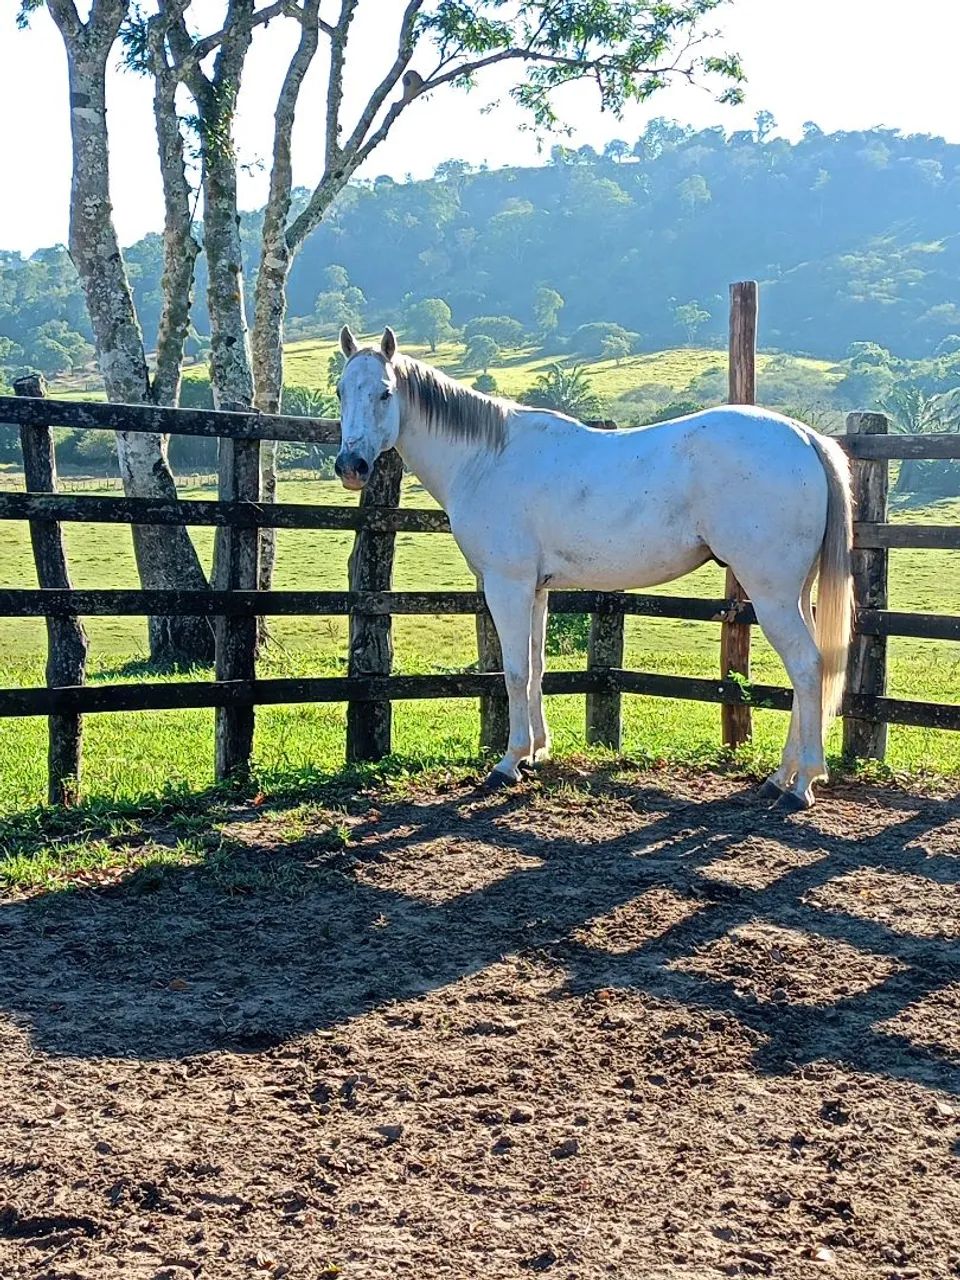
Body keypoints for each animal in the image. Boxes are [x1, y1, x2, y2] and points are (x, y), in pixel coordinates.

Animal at [334, 326, 853, 811]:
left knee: (807, 667)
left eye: (384, 392)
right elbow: (537, 667)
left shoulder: (507, 585)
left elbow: (515, 672)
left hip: (771, 593)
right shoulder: (536, 590)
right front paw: (536, 753)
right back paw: (782, 777)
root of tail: (804, 436)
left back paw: (800, 784)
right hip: (793, 592)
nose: (351, 466)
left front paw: (509, 763)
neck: (486, 459)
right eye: (340, 390)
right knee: (810, 670)